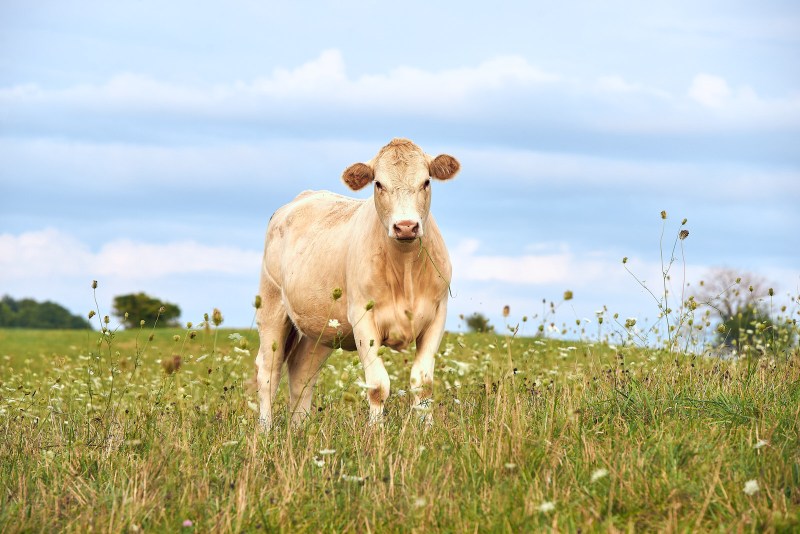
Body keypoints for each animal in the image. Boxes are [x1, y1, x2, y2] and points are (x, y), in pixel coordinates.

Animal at [255, 138, 460, 430]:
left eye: (426, 181)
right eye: (379, 184)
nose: (406, 226)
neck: (406, 269)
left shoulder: (437, 315)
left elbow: (423, 383)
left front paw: (427, 430)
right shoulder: (363, 317)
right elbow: (377, 385)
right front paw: (376, 433)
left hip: (322, 328)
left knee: (301, 372)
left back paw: (299, 429)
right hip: (271, 306)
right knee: (268, 372)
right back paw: (265, 430)